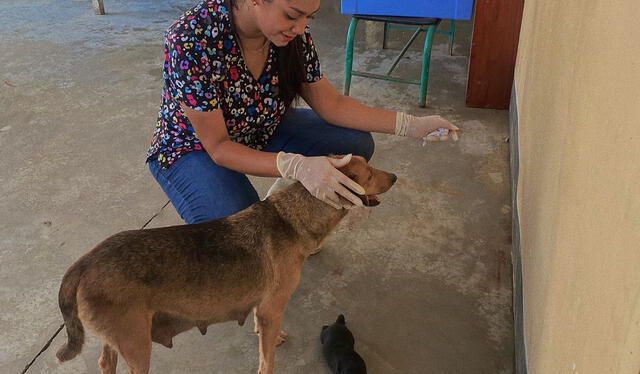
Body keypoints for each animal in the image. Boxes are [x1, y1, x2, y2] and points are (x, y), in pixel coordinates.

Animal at [56, 153, 396, 372]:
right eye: (368, 174)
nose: (394, 177)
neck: (292, 217)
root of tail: (84, 263)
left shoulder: (264, 308)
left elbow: (262, 329)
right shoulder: (273, 307)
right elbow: (266, 360)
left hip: (119, 338)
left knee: (105, 362)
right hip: (137, 344)